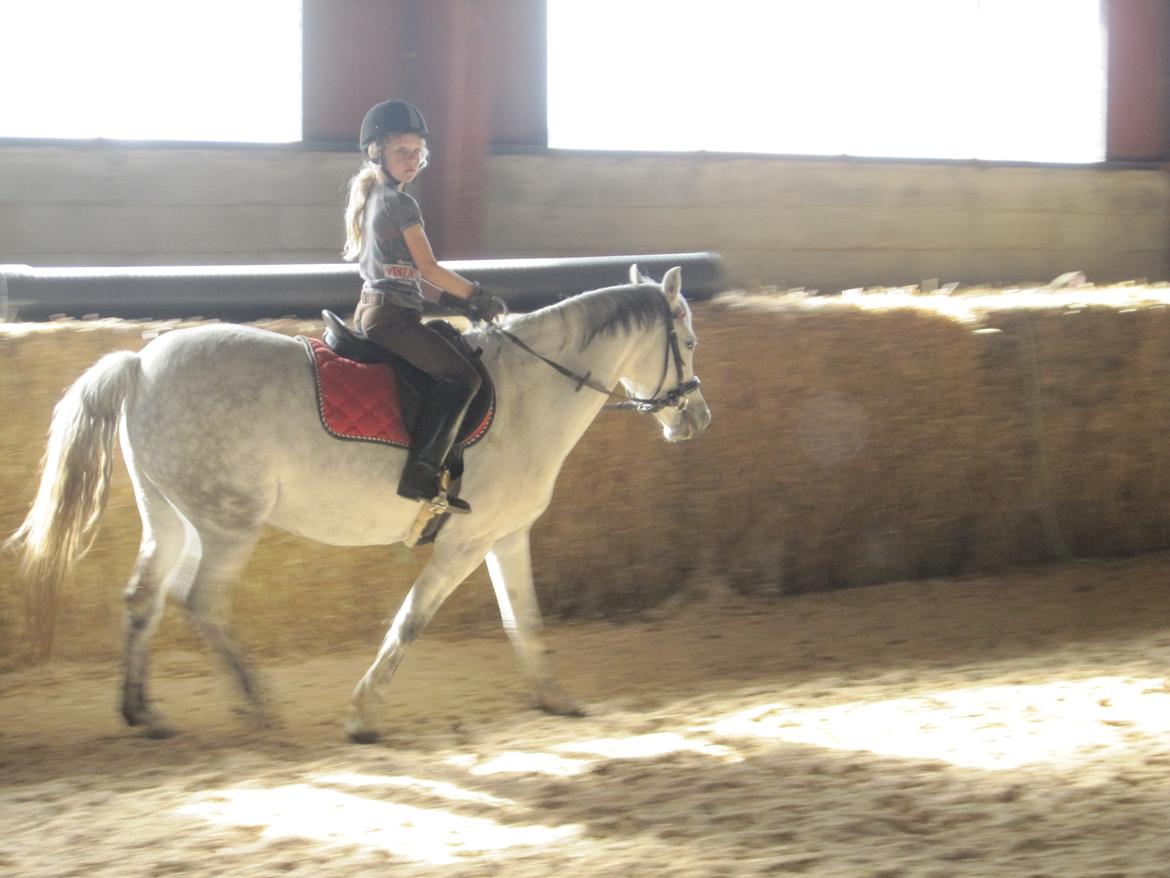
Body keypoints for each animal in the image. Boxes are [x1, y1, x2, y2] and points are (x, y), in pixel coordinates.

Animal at [7, 265, 711, 742]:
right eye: (689, 342)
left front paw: (554, 697)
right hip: (228, 523)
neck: (533, 390)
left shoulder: (505, 537)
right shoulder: (464, 542)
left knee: (144, 597)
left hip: (174, 516)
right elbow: (412, 620)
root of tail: (141, 362)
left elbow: (525, 617)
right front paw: (363, 713)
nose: (697, 418)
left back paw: (143, 712)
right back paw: (257, 705)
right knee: (199, 600)